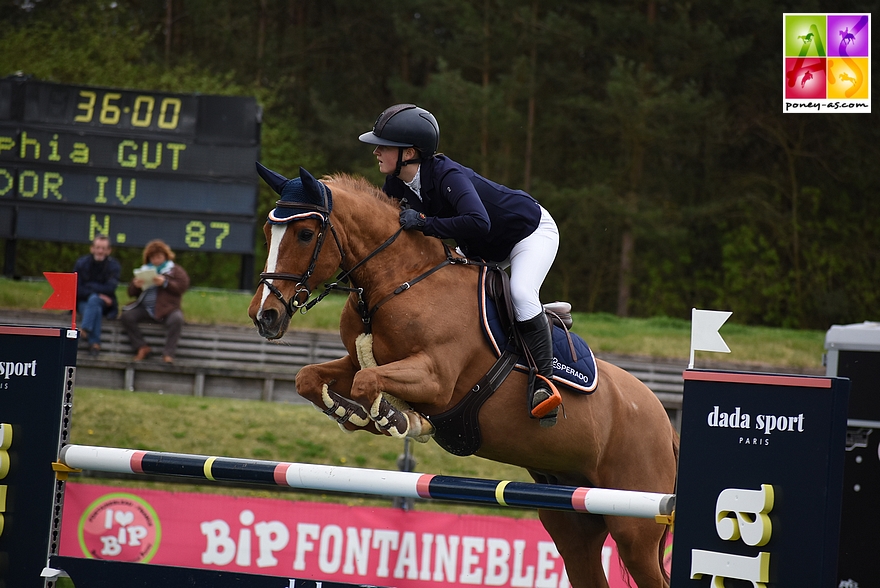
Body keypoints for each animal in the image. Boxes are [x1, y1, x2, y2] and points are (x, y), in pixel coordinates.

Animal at [249, 167, 680, 588]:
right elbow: (311, 378)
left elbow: (369, 384)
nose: (264, 315)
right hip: (571, 519)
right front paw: (353, 415)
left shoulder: (437, 379)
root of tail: (665, 425)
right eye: (269, 232)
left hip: (633, 528)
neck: (400, 280)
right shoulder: (358, 361)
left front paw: (401, 420)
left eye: (306, 234)